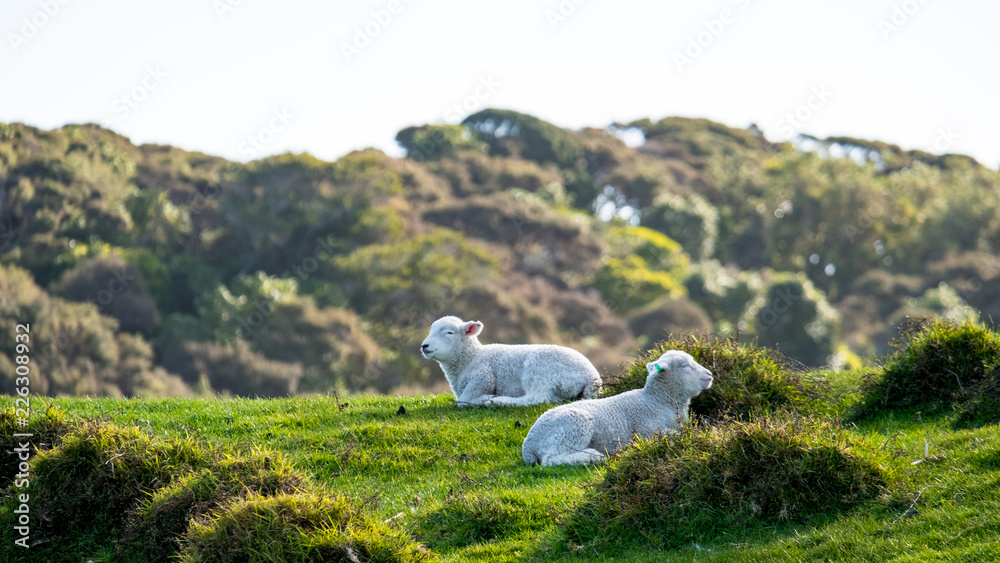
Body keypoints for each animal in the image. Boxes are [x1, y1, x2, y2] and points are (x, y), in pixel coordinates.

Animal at [420, 315, 602, 407]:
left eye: (449, 333)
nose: (424, 346)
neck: (471, 358)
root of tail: (592, 377)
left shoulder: (482, 377)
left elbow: (463, 402)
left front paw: (484, 399)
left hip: (540, 372)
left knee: (537, 398)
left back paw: (497, 401)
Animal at [521, 350, 712, 466]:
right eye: (684, 365)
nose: (709, 375)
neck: (656, 400)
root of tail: (528, 445)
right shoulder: (648, 430)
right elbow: (674, 435)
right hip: (572, 427)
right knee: (551, 459)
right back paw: (593, 456)